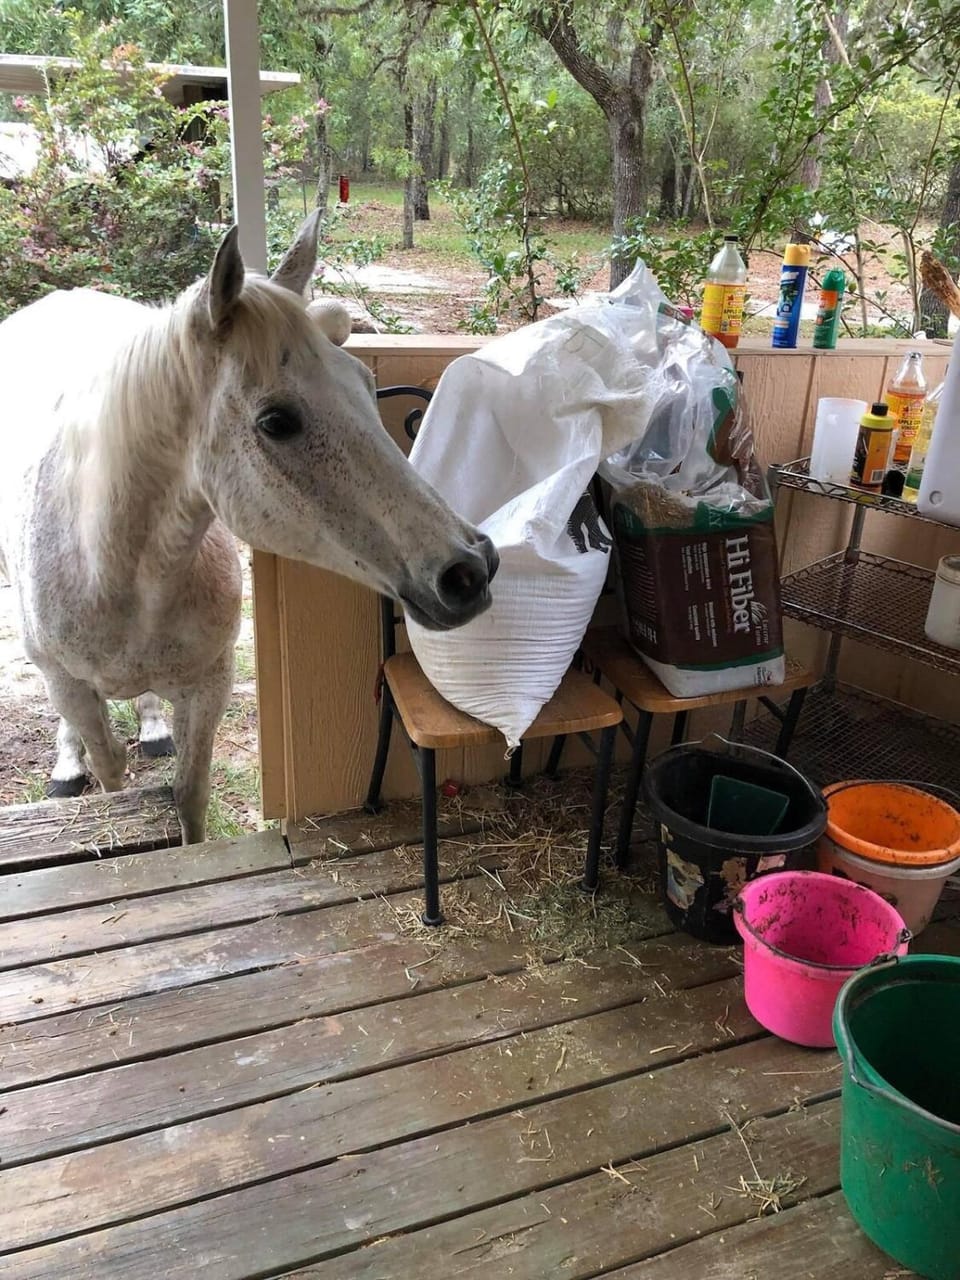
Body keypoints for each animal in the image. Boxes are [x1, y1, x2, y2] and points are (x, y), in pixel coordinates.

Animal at [0, 212, 497, 844]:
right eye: (277, 422)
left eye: (365, 384)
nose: (471, 569)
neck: (108, 568)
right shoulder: (74, 690)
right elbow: (111, 775)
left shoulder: (209, 688)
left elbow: (189, 797)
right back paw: (68, 765)